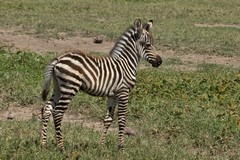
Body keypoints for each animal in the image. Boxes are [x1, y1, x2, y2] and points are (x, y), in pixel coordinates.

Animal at [40, 19, 161, 151]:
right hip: (70, 88)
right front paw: (121, 148)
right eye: (147, 45)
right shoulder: (123, 92)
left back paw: (44, 144)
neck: (125, 64)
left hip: (58, 88)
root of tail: (58, 59)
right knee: (57, 113)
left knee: (47, 109)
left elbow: (108, 119)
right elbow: (122, 119)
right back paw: (61, 147)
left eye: (153, 44)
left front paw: (101, 146)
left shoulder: (113, 95)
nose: (160, 62)